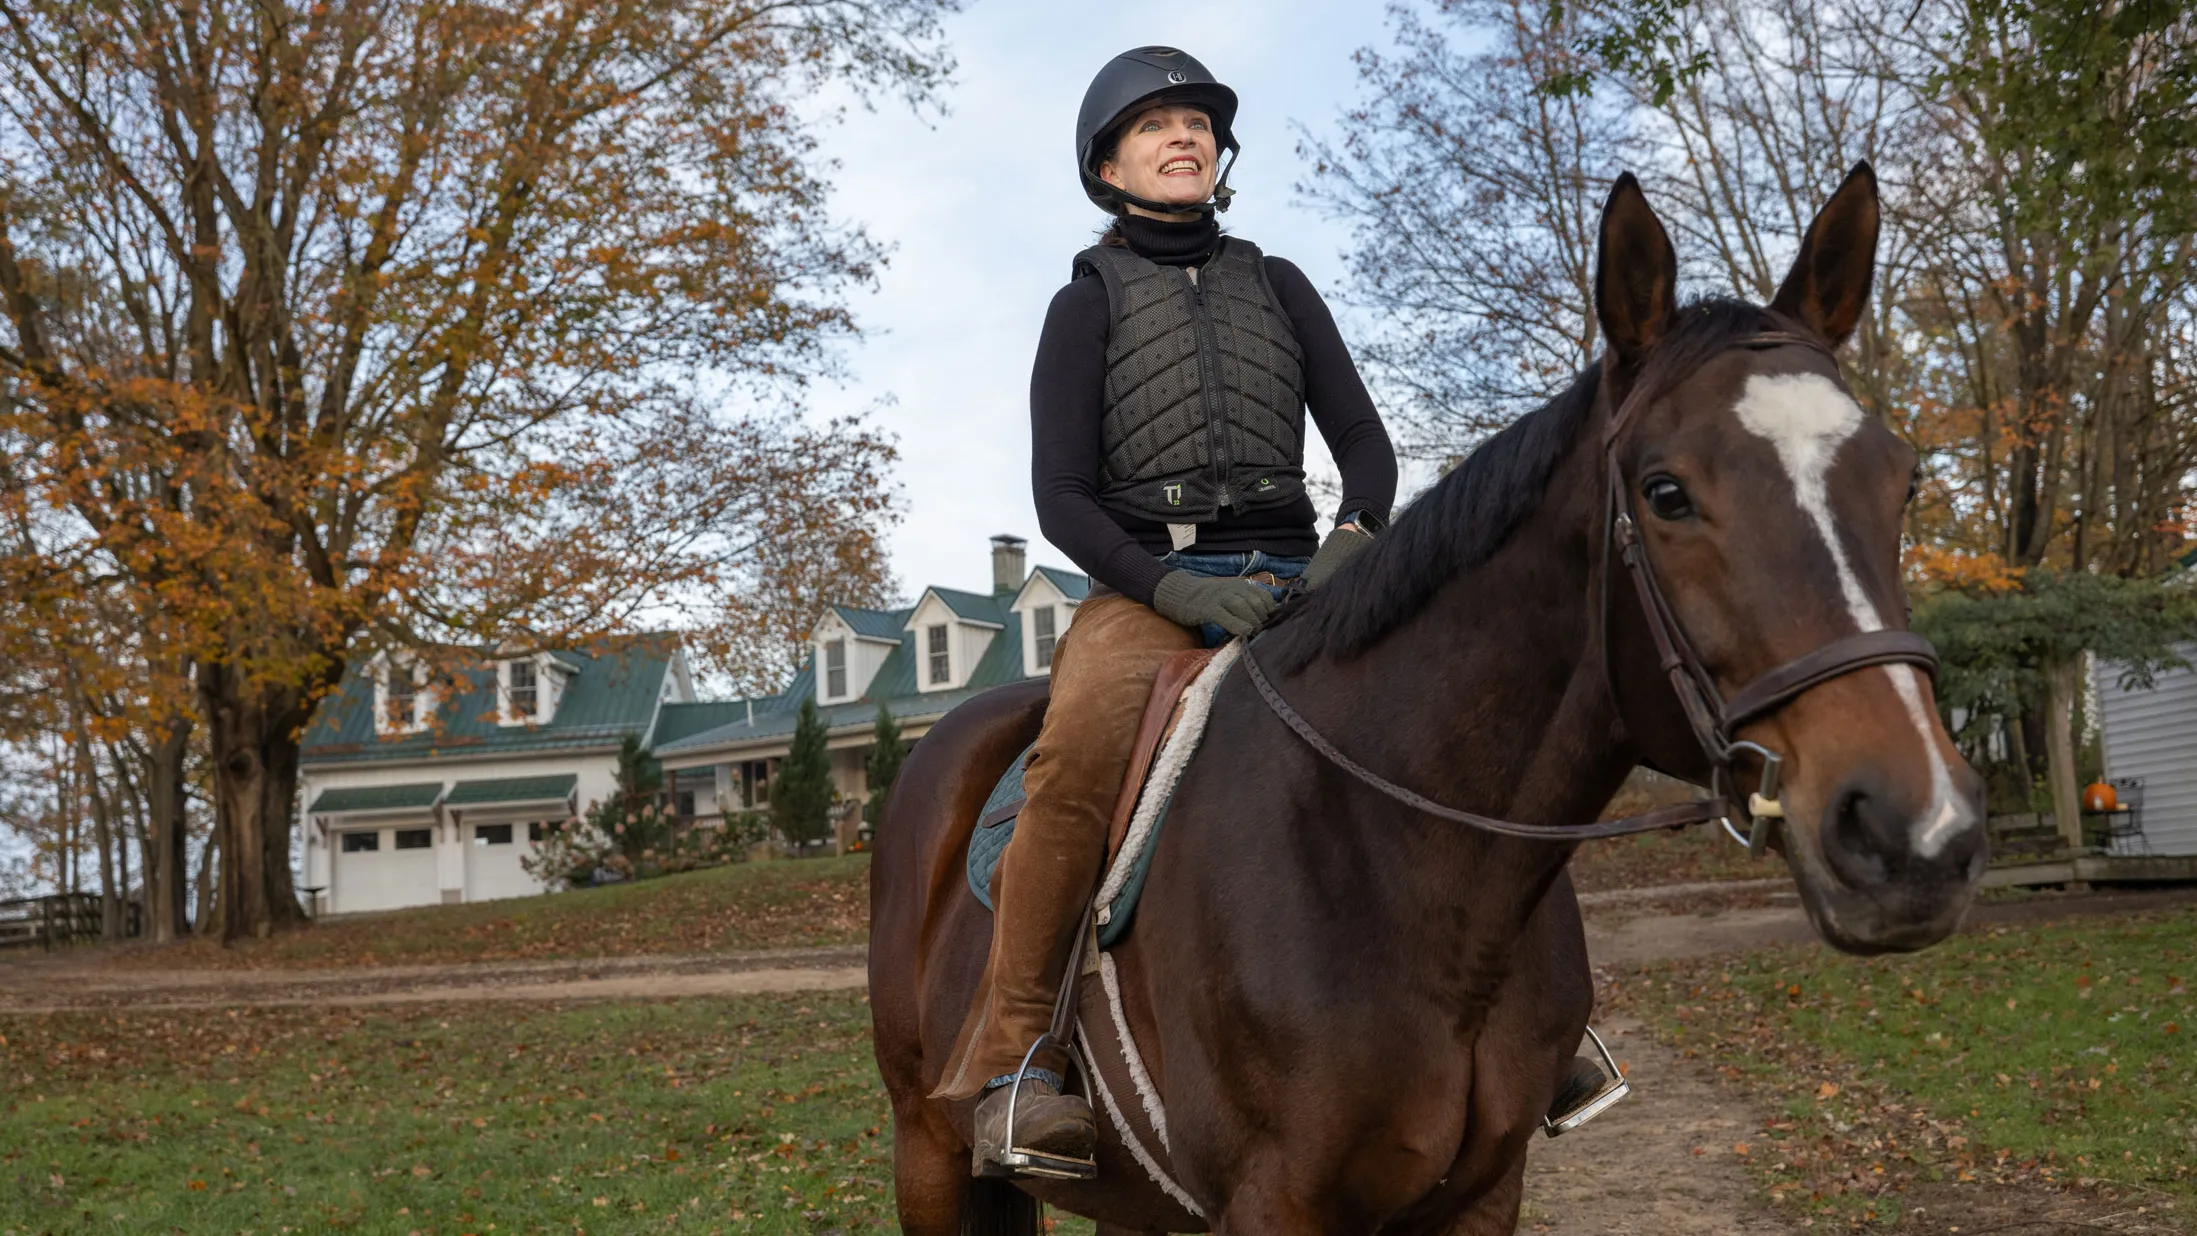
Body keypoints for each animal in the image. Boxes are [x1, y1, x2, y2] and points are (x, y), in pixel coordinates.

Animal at [869, 164, 1987, 1235]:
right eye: (1665, 493)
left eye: (1902, 482)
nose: (1913, 835)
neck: (1407, 874)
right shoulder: (1272, 1204)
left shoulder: (1482, 1192)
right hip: (927, 1152)